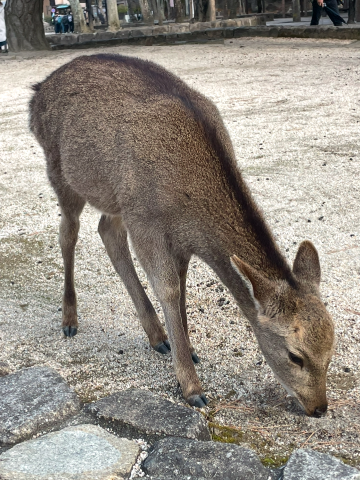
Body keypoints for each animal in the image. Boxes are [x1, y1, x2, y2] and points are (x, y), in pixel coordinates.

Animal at [29, 54, 336, 416]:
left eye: (332, 349)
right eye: (295, 356)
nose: (319, 408)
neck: (189, 206)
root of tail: (37, 91)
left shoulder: (180, 238)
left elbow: (182, 287)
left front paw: (186, 349)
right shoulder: (145, 220)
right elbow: (169, 289)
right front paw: (192, 387)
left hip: (115, 195)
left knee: (106, 229)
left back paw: (157, 336)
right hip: (62, 172)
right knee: (68, 233)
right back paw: (69, 319)